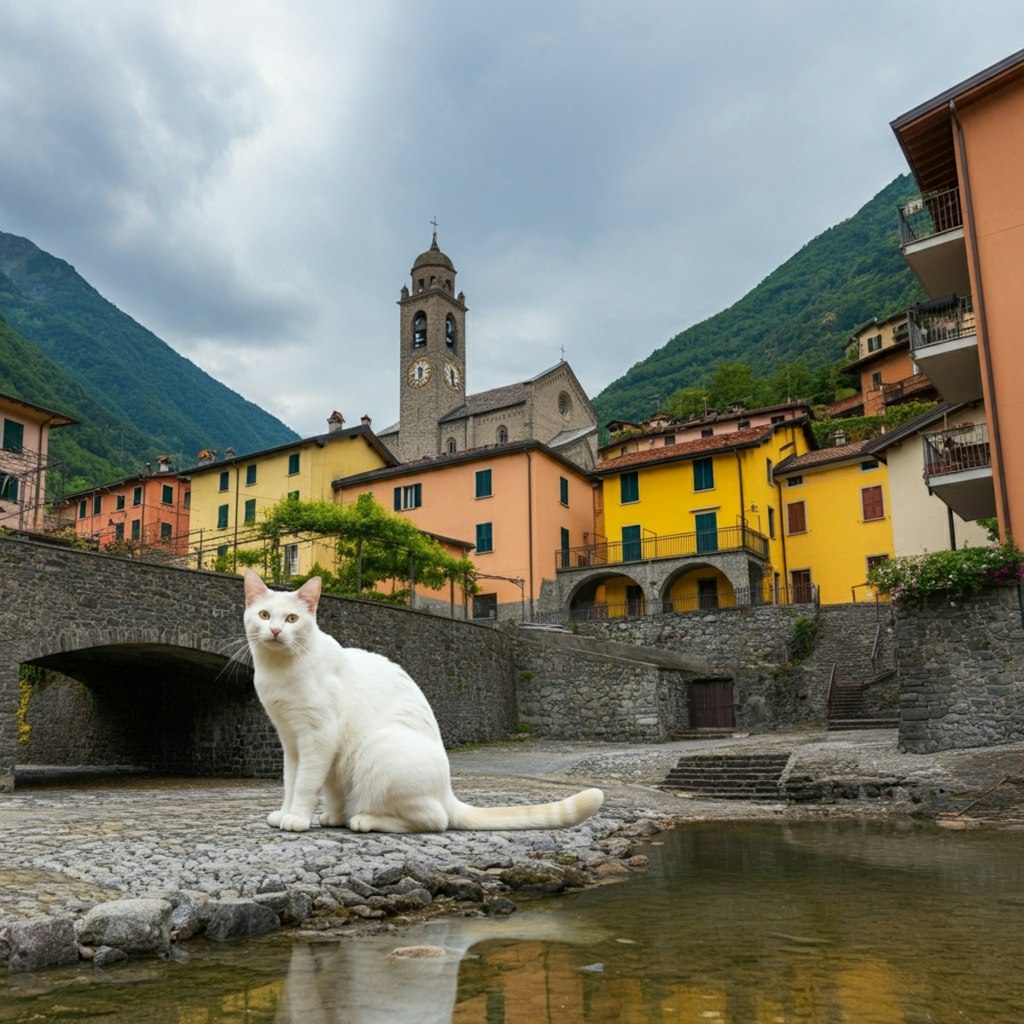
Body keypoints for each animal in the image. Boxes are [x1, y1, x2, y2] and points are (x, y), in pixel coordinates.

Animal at [243, 573, 602, 835]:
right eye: (264, 615)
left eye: (292, 618)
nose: (275, 630)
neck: (280, 671)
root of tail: (447, 791)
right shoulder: (290, 741)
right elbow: (290, 781)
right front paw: (285, 812)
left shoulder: (317, 738)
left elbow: (304, 784)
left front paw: (297, 818)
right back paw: (336, 816)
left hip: (379, 750)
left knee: (433, 820)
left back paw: (366, 820)